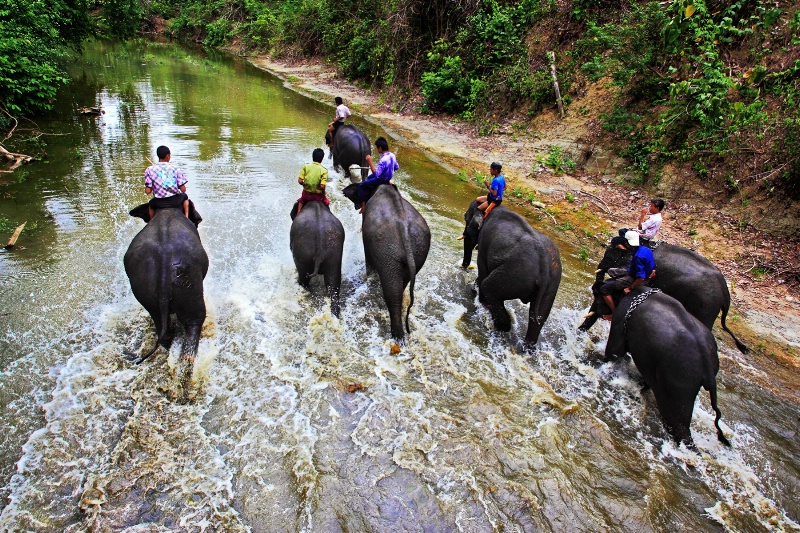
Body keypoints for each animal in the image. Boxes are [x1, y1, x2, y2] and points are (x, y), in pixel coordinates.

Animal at [344, 183, 432, 340]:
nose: (344, 191)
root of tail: (404, 230)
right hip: (419, 252)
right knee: (400, 287)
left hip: (388, 252)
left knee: (392, 293)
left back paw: (397, 337)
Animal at [462, 200, 564, 344]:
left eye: (465, 217)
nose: (464, 268)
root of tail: (543, 266)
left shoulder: (484, 244)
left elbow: (482, 268)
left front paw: (475, 290)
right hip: (552, 283)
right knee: (538, 318)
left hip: (514, 274)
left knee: (488, 287)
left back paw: (497, 324)